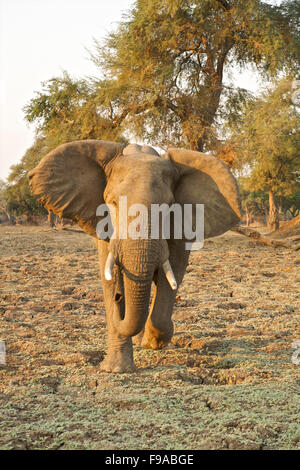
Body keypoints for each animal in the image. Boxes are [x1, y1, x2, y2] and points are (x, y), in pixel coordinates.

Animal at [28, 140, 241, 370]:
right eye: (112, 203)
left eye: (168, 207)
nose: (119, 298)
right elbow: (110, 277)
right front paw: (116, 370)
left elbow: (173, 272)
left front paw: (154, 341)